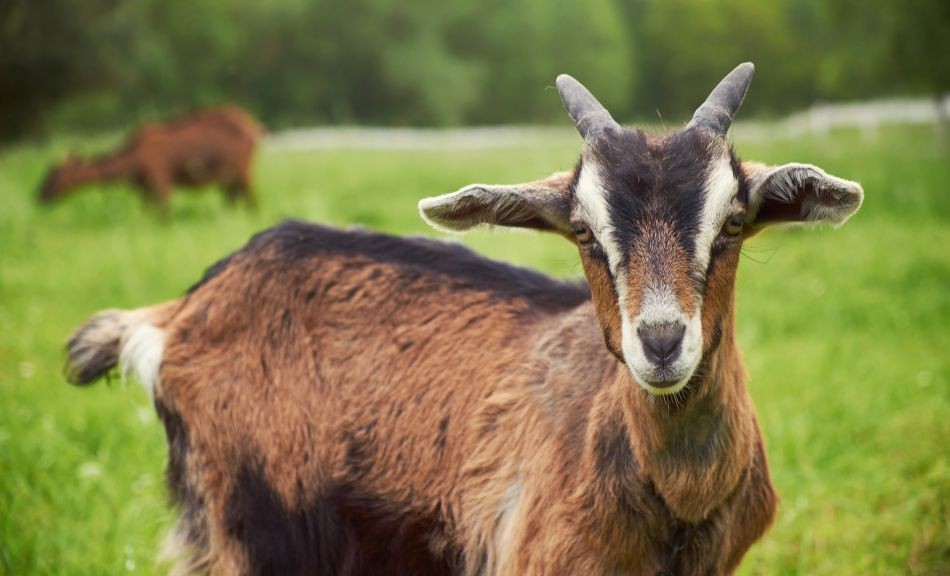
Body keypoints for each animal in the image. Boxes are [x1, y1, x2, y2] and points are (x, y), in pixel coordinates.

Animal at [38, 106, 263, 213]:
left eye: (54, 174)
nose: (39, 195)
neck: (130, 162)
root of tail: (253, 126)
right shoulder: (144, 189)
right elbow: (146, 214)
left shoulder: (160, 180)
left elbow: (164, 214)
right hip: (229, 176)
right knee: (233, 199)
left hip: (243, 170)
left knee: (251, 200)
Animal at [64, 63, 863, 575]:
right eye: (584, 232)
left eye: (733, 223)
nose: (662, 343)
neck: (678, 501)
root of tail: (181, 310)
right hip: (251, 529)